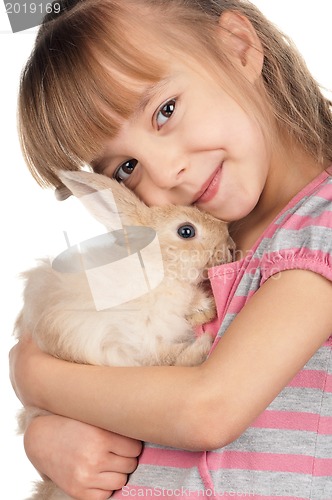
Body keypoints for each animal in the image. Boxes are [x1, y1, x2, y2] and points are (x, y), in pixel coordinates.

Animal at [14, 170, 233, 498]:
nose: (230, 243)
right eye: (186, 231)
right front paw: (203, 345)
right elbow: (168, 359)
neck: (158, 269)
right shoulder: (134, 346)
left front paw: (205, 311)